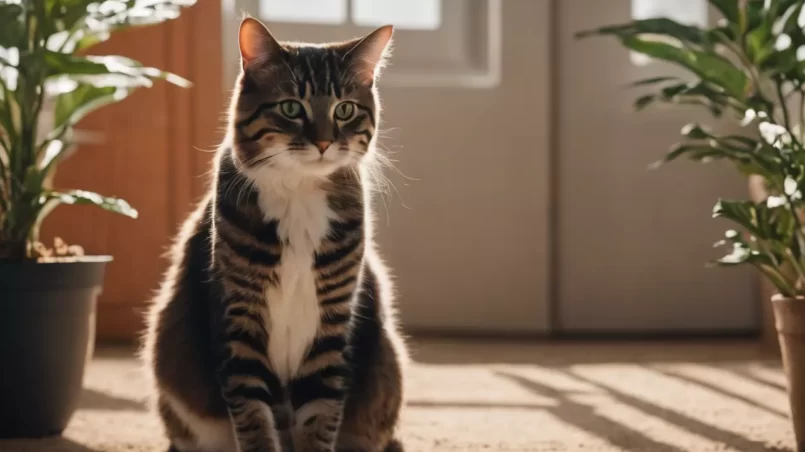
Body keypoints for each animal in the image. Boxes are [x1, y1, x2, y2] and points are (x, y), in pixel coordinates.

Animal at [140, 17, 408, 452]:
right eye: (291, 108)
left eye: (345, 109)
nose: (323, 142)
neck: (299, 191)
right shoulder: (241, 321)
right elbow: (252, 415)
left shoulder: (330, 325)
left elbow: (320, 415)